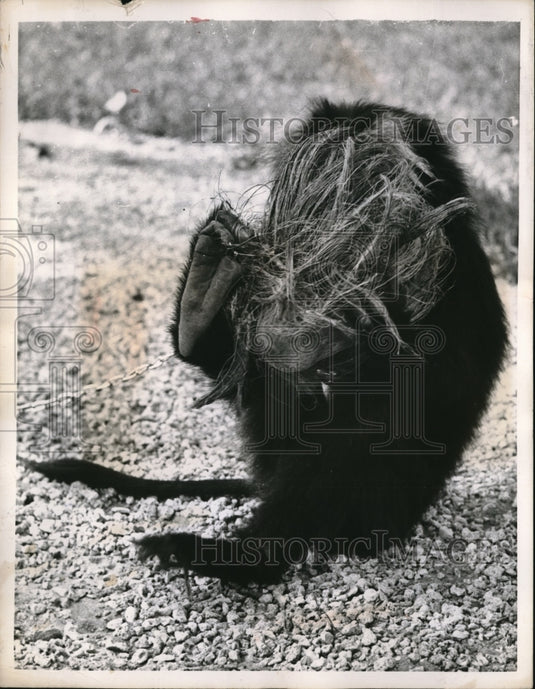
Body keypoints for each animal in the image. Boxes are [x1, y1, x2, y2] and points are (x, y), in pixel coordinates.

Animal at [28, 99, 508, 585]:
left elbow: (417, 383)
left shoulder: (449, 276)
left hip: (382, 503)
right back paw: (201, 303)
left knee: (351, 440)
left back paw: (241, 557)